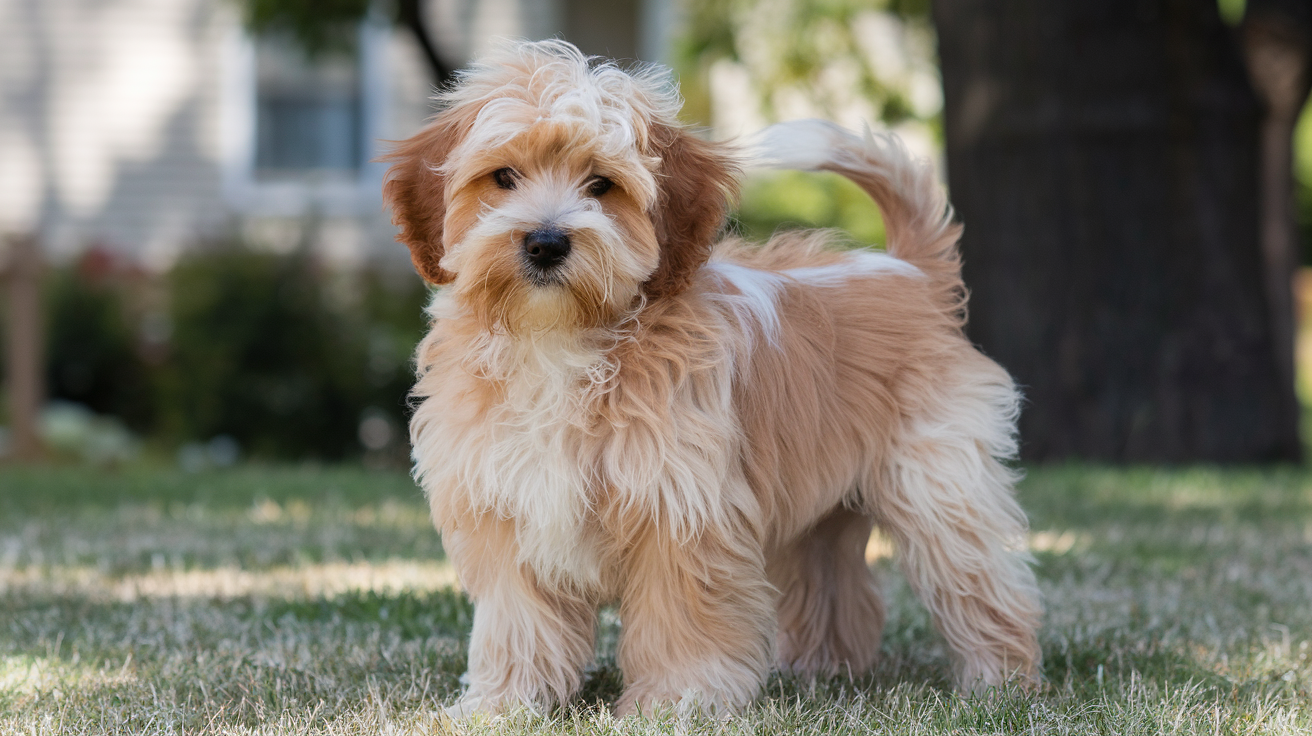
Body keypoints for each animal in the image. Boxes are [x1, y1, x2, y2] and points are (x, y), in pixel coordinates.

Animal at [383, 37, 1044, 713]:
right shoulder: (506, 503)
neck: (562, 339)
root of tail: (911, 273)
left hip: (938, 480)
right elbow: (520, 620)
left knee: (978, 576)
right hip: (820, 503)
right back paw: (822, 669)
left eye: (602, 184)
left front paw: (676, 702)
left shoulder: (680, 505)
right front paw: (504, 703)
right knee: (832, 576)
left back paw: (999, 680)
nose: (545, 242)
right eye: (503, 177)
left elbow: (681, 617)